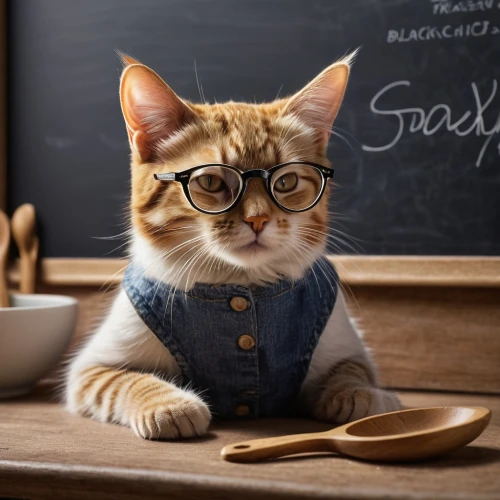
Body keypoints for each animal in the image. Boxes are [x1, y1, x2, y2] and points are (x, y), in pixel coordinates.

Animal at [66, 51, 400, 438]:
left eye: (285, 182)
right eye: (211, 182)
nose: (258, 220)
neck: (241, 287)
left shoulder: (345, 344)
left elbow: (350, 371)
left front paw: (360, 395)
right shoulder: (90, 369)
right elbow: (127, 382)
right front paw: (169, 405)